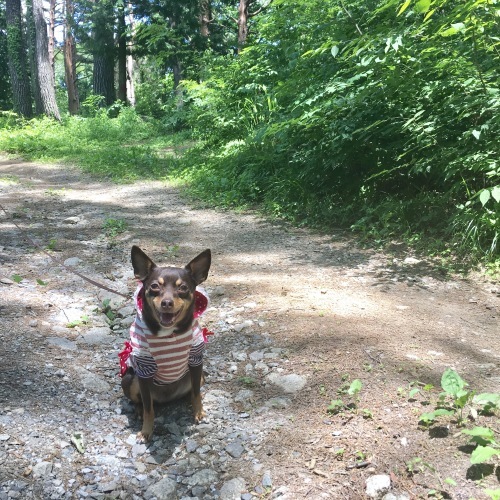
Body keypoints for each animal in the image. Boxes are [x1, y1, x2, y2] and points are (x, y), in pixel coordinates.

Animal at [120, 246, 212, 442]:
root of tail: (166, 399)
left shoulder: (195, 360)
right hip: (130, 379)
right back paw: (139, 411)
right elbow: (148, 408)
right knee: (142, 401)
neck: (169, 333)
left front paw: (198, 412)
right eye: (155, 286)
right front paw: (146, 431)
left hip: (198, 375)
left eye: (183, 288)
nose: (167, 302)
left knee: (193, 390)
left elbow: (197, 393)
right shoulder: (144, 370)